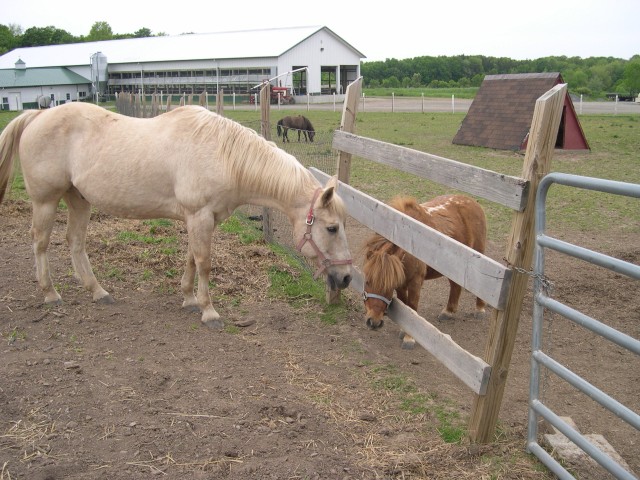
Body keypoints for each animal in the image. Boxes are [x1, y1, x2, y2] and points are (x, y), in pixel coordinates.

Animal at [0, 102, 352, 328]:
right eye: (332, 228)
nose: (347, 277)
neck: (223, 155)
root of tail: (37, 116)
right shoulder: (199, 217)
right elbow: (205, 263)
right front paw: (209, 311)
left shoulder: (201, 219)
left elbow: (191, 259)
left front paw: (189, 299)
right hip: (46, 201)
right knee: (40, 243)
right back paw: (50, 293)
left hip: (78, 199)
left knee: (75, 242)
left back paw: (98, 292)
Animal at [362, 194, 488, 348]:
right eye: (367, 281)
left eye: (389, 286)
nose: (374, 322)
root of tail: (472, 201)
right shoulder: (402, 284)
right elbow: (406, 307)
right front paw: (404, 331)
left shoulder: (415, 283)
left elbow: (412, 308)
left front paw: (409, 338)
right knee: (455, 286)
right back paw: (448, 311)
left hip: (478, 255)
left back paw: (479, 308)